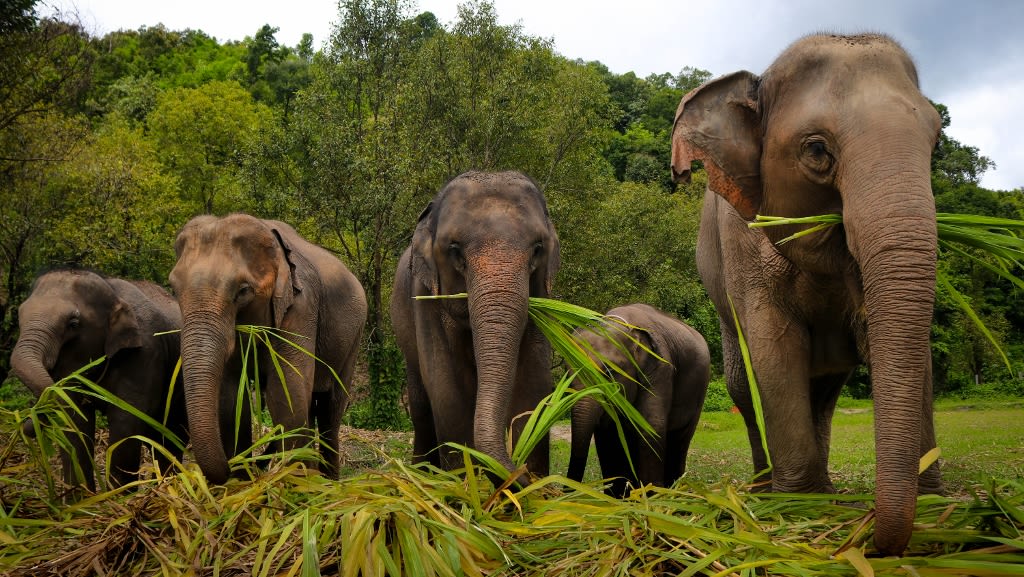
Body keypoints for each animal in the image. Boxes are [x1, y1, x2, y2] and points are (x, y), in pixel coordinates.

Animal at [10, 268, 186, 491]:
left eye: (73, 323)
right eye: (19, 315)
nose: (26, 422)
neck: (112, 290)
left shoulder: (146, 353)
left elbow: (126, 419)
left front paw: (119, 496)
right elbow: (75, 418)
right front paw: (82, 498)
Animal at [169, 213, 367, 484]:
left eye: (243, 291)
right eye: (173, 289)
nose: (230, 468)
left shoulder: (301, 306)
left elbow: (286, 394)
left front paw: (294, 483)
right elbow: (231, 397)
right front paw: (241, 481)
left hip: (353, 340)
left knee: (330, 408)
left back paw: (329, 482)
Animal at [391, 170, 560, 485]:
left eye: (537, 249)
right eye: (455, 250)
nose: (517, 474)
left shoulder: (541, 296)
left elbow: (534, 380)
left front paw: (535, 486)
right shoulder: (424, 295)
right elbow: (446, 386)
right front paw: (462, 483)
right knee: (421, 407)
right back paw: (421, 474)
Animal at [567, 304, 710, 497]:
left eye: (609, 373)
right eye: (567, 377)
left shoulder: (660, 368)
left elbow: (651, 424)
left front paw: (651, 496)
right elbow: (607, 433)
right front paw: (616, 498)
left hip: (699, 392)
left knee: (680, 439)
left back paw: (674, 491)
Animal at [670, 33, 942, 556]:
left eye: (936, 140)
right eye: (817, 150)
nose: (873, 541)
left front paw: (940, 503)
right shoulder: (742, 240)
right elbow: (775, 350)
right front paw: (799, 506)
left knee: (825, 391)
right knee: (743, 383)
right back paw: (766, 490)